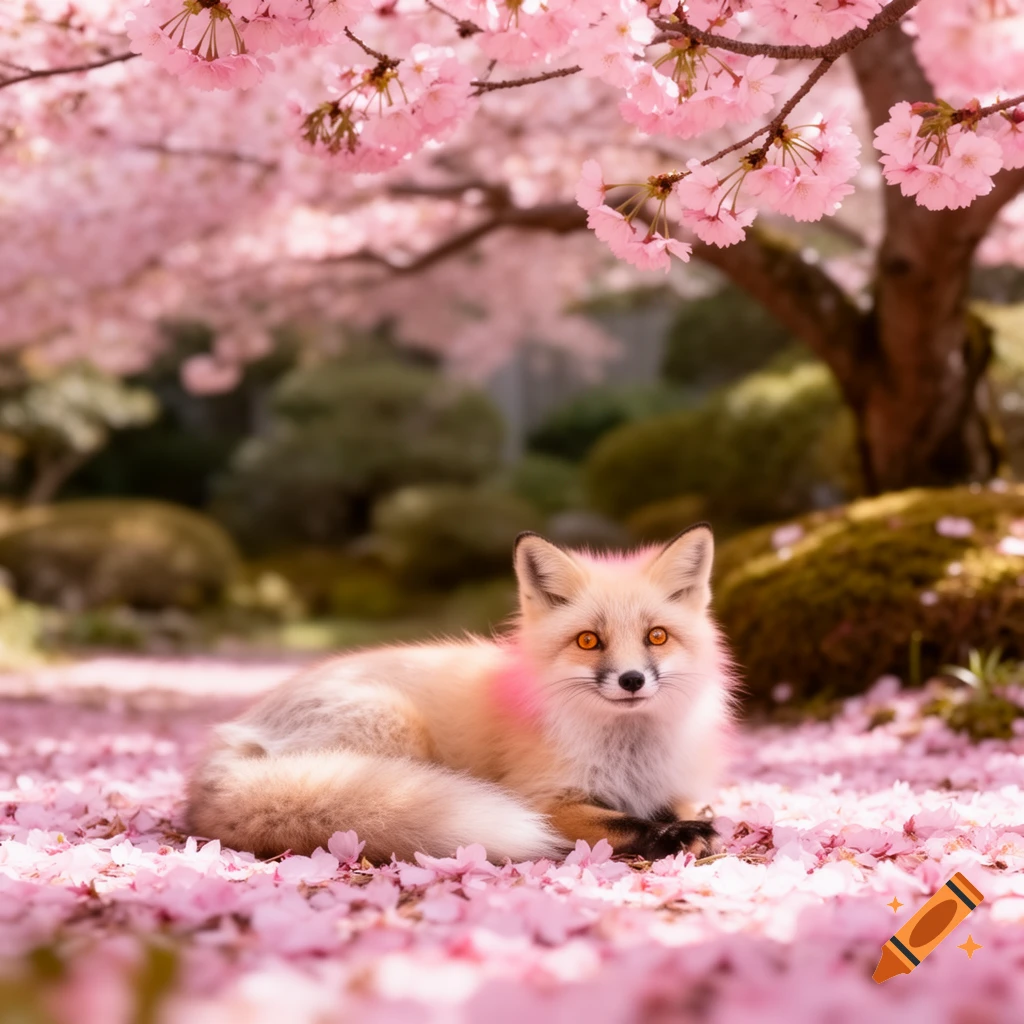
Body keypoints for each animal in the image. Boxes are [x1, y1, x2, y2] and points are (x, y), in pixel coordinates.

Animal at [186, 523, 737, 864]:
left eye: (656, 637)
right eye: (588, 641)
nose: (631, 680)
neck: (630, 755)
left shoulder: (675, 787)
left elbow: (681, 807)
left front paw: (686, 824)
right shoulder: (541, 799)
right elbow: (624, 821)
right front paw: (671, 835)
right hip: (397, 730)